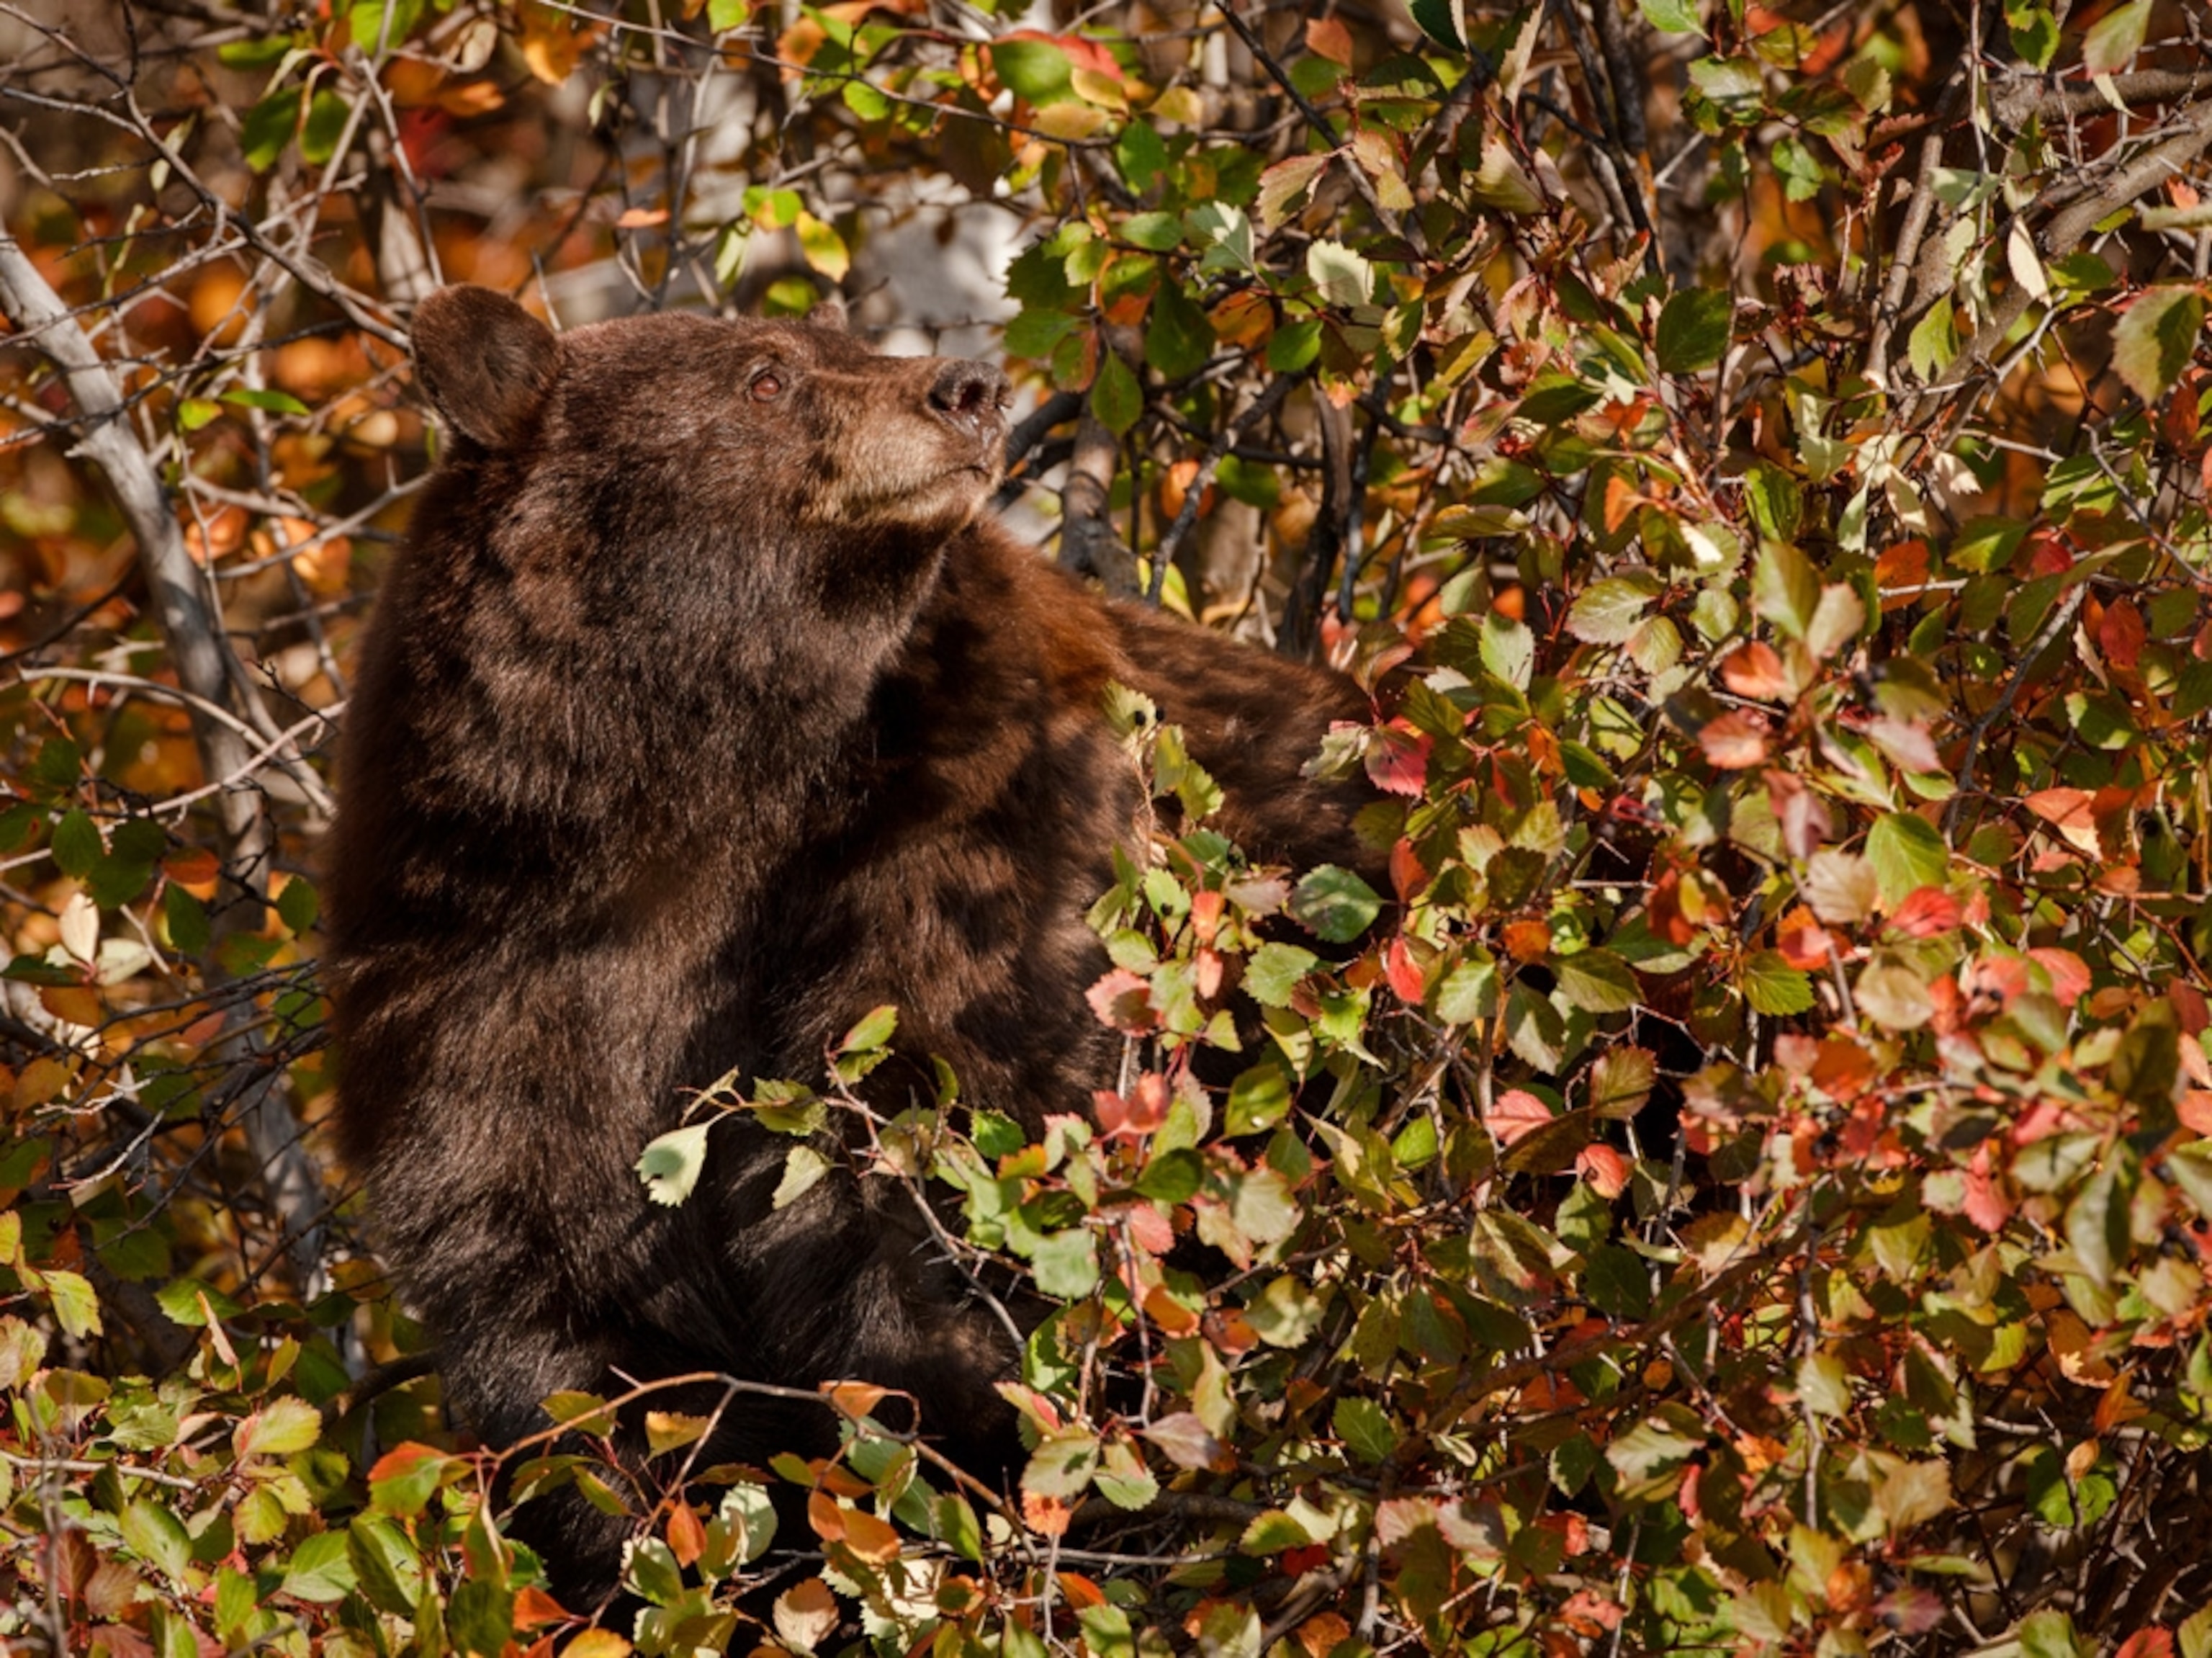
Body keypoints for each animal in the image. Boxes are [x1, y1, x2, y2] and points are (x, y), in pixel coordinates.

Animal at [326, 284, 1380, 1606]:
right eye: (766, 374)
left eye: (846, 342)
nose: (968, 389)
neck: (692, 785)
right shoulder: (474, 967)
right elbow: (557, 1321)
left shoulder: (974, 834)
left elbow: (937, 1168)